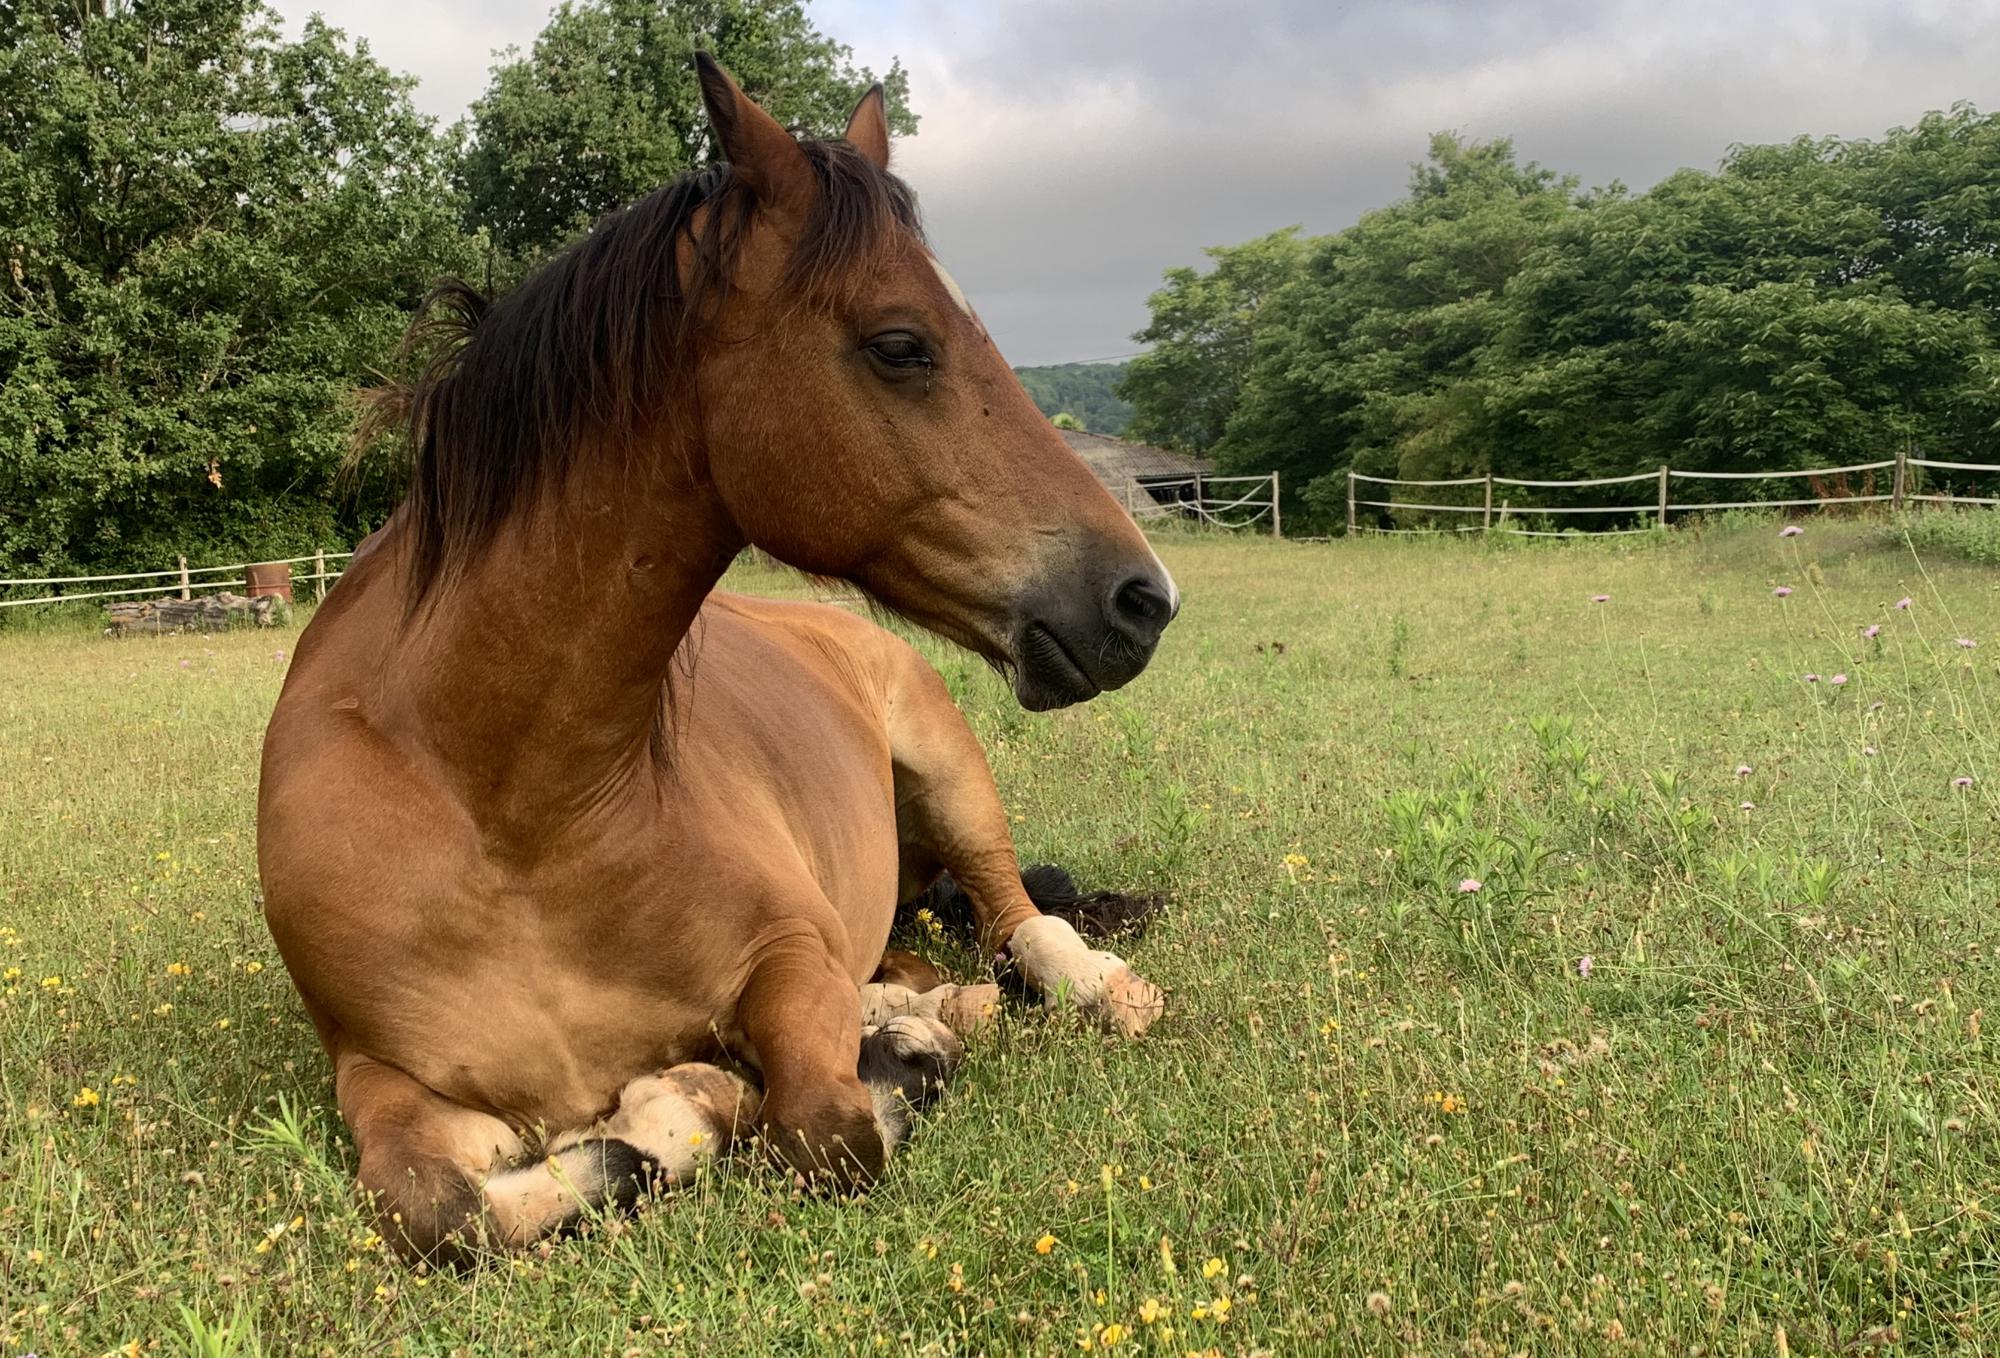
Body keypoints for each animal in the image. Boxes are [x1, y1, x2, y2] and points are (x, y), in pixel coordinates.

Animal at [258, 53, 1176, 1264]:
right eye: (900, 343)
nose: (1143, 597)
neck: (507, 809)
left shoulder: (789, 955)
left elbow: (830, 1128)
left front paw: (765, 1089)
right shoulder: (378, 1078)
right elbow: (437, 1212)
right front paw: (658, 1123)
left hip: (952, 774)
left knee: (1020, 924)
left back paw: (1090, 989)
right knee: (931, 966)